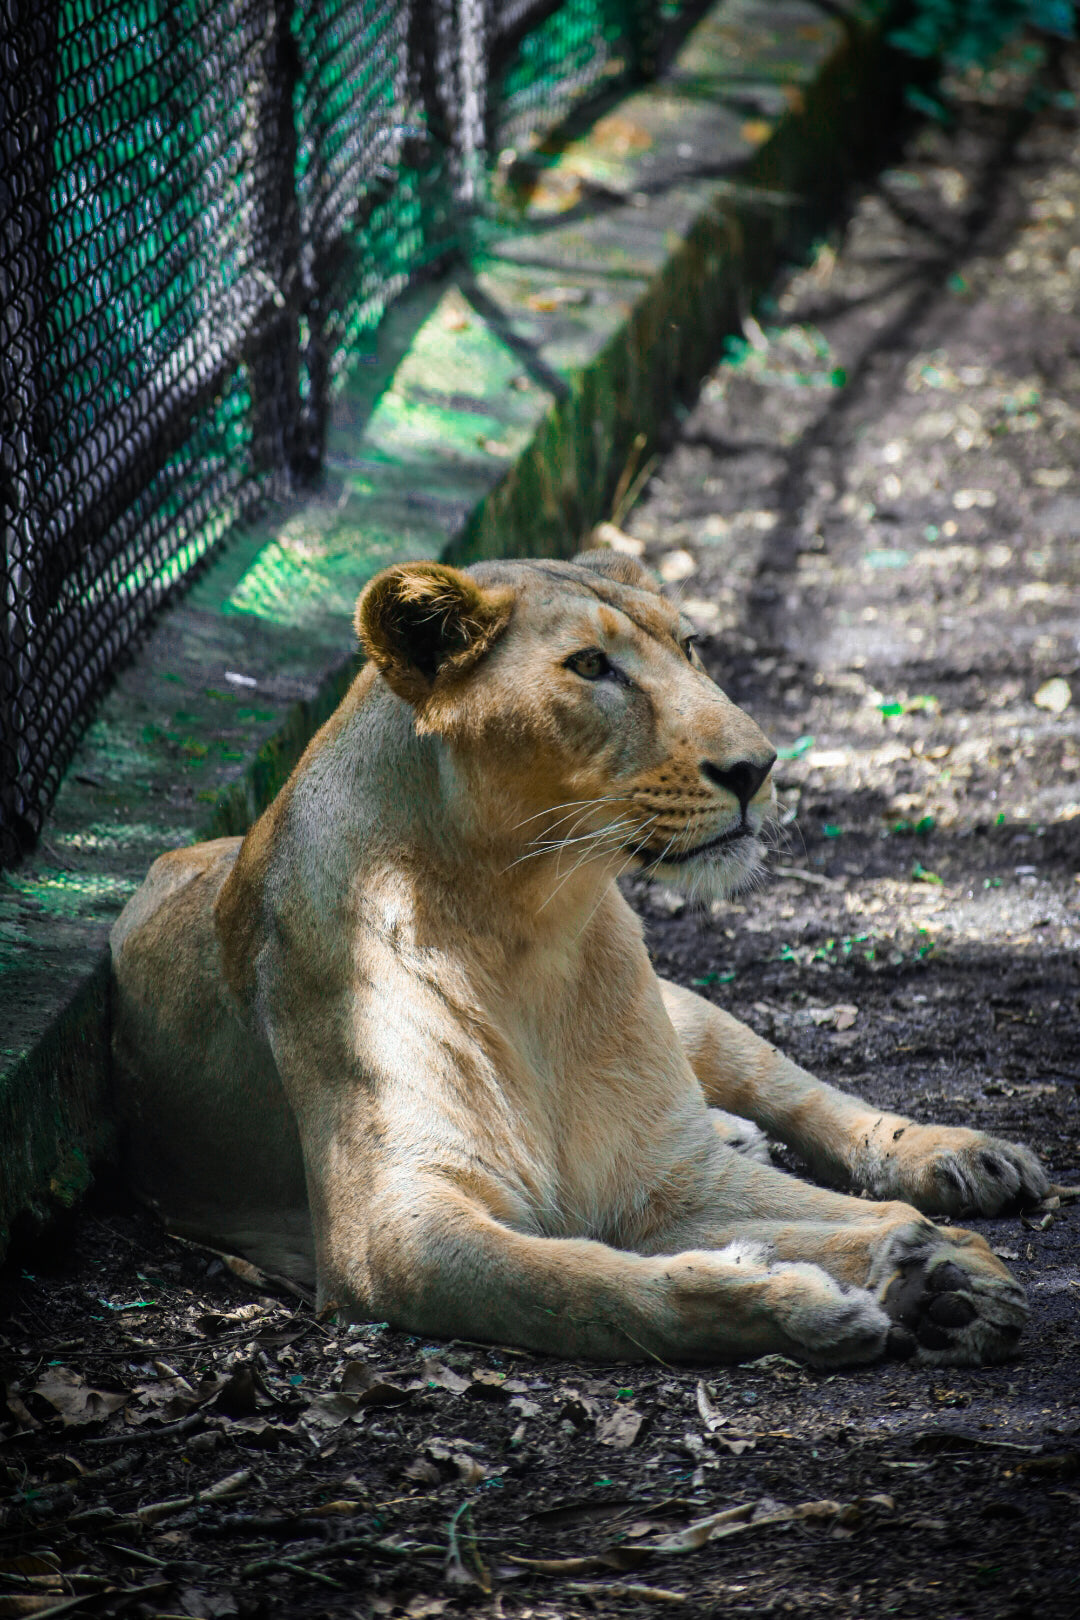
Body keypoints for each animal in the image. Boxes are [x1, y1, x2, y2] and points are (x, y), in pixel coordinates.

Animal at [110, 551, 1049, 1366]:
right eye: (592, 666)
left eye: (690, 647)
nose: (758, 767)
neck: (526, 925)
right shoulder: (391, 1233)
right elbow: (584, 1285)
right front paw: (803, 1300)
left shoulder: (669, 1177)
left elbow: (838, 1208)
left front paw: (946, 1277)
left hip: (688, 1012)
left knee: (792, 1086)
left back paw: (960, 1157)